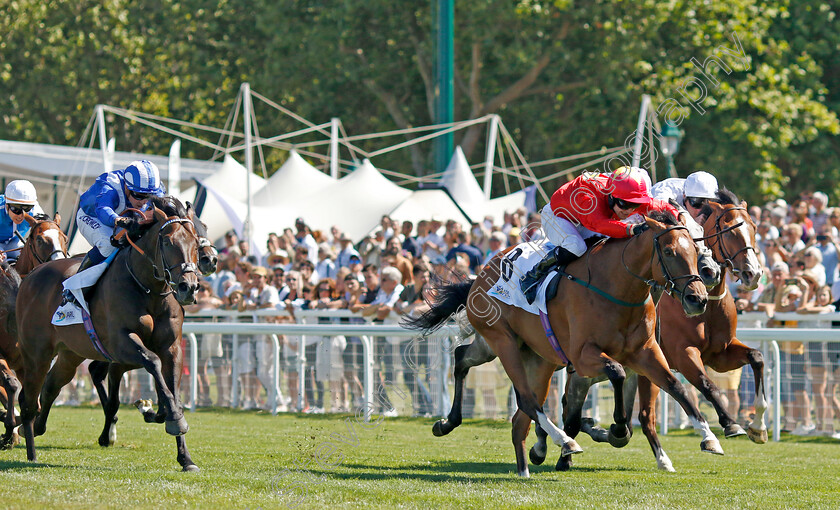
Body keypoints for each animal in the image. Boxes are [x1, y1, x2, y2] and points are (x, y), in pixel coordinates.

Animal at [0, 213, 68, 448]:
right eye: (39, 239)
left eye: (64, 237)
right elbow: (11, 386)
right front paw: (9, 427)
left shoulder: (27, 362)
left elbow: (33, 405)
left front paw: (12, 430)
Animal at [16, 199, 202, 470]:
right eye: (167, 242)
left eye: (196, 242)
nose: (189, 287)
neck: (148, 288)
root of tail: (32, 275)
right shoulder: (120, 343)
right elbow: (152, 361)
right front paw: (169, 418)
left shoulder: (172, 348)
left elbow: (172, 391)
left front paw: (184, 455)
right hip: (36, 354)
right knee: (28, 399)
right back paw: (29, 448)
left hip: (71, 353)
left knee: (52, 384)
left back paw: (37, 428)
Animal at [404, 211, 720, 478]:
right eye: (668, 252)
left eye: (695, 250)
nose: (698, 298)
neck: (617, 288)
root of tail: (480, 274)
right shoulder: (582, 358)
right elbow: (615, 375)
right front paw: (614, 427)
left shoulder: (645, 353)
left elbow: (677, 386)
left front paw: (709, 437)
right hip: (502, 342)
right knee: (527, 401)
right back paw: (564, 442)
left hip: (526, 356)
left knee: (471, 366)